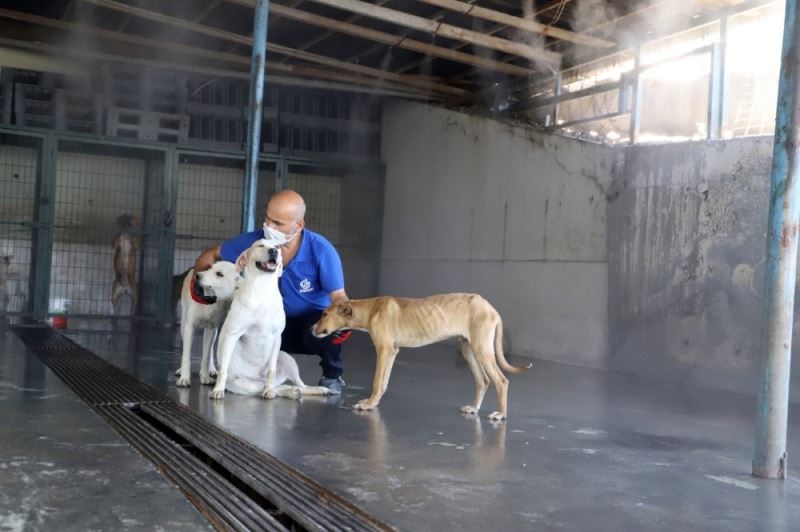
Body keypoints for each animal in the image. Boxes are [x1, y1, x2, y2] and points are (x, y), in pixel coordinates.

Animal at [211, 240, 330, 400]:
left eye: (278, 247)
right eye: (260, 245)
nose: (273, 251)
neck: (263, 288)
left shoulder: (276, 336)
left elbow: (271, 370)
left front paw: (269, 390)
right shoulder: (232, 334)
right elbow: (223, 369)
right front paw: (218, 389)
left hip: (287, 358)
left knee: (298, 385)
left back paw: (313, 389)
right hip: (243, 384)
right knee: (270, 387)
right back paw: (290, 391)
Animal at [312, 290, 532, 420]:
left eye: (324, 314)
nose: (311, 329)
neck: (371, 309)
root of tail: (490, 307)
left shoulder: (384, 350)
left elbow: (376, 381)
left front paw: (368, 404)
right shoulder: (391, 351)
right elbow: (383, 382)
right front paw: (374, 403)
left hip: (482, 349)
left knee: (501, 380)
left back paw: (501, 414)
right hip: (468, 349)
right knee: (483, 380)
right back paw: (474, 408)